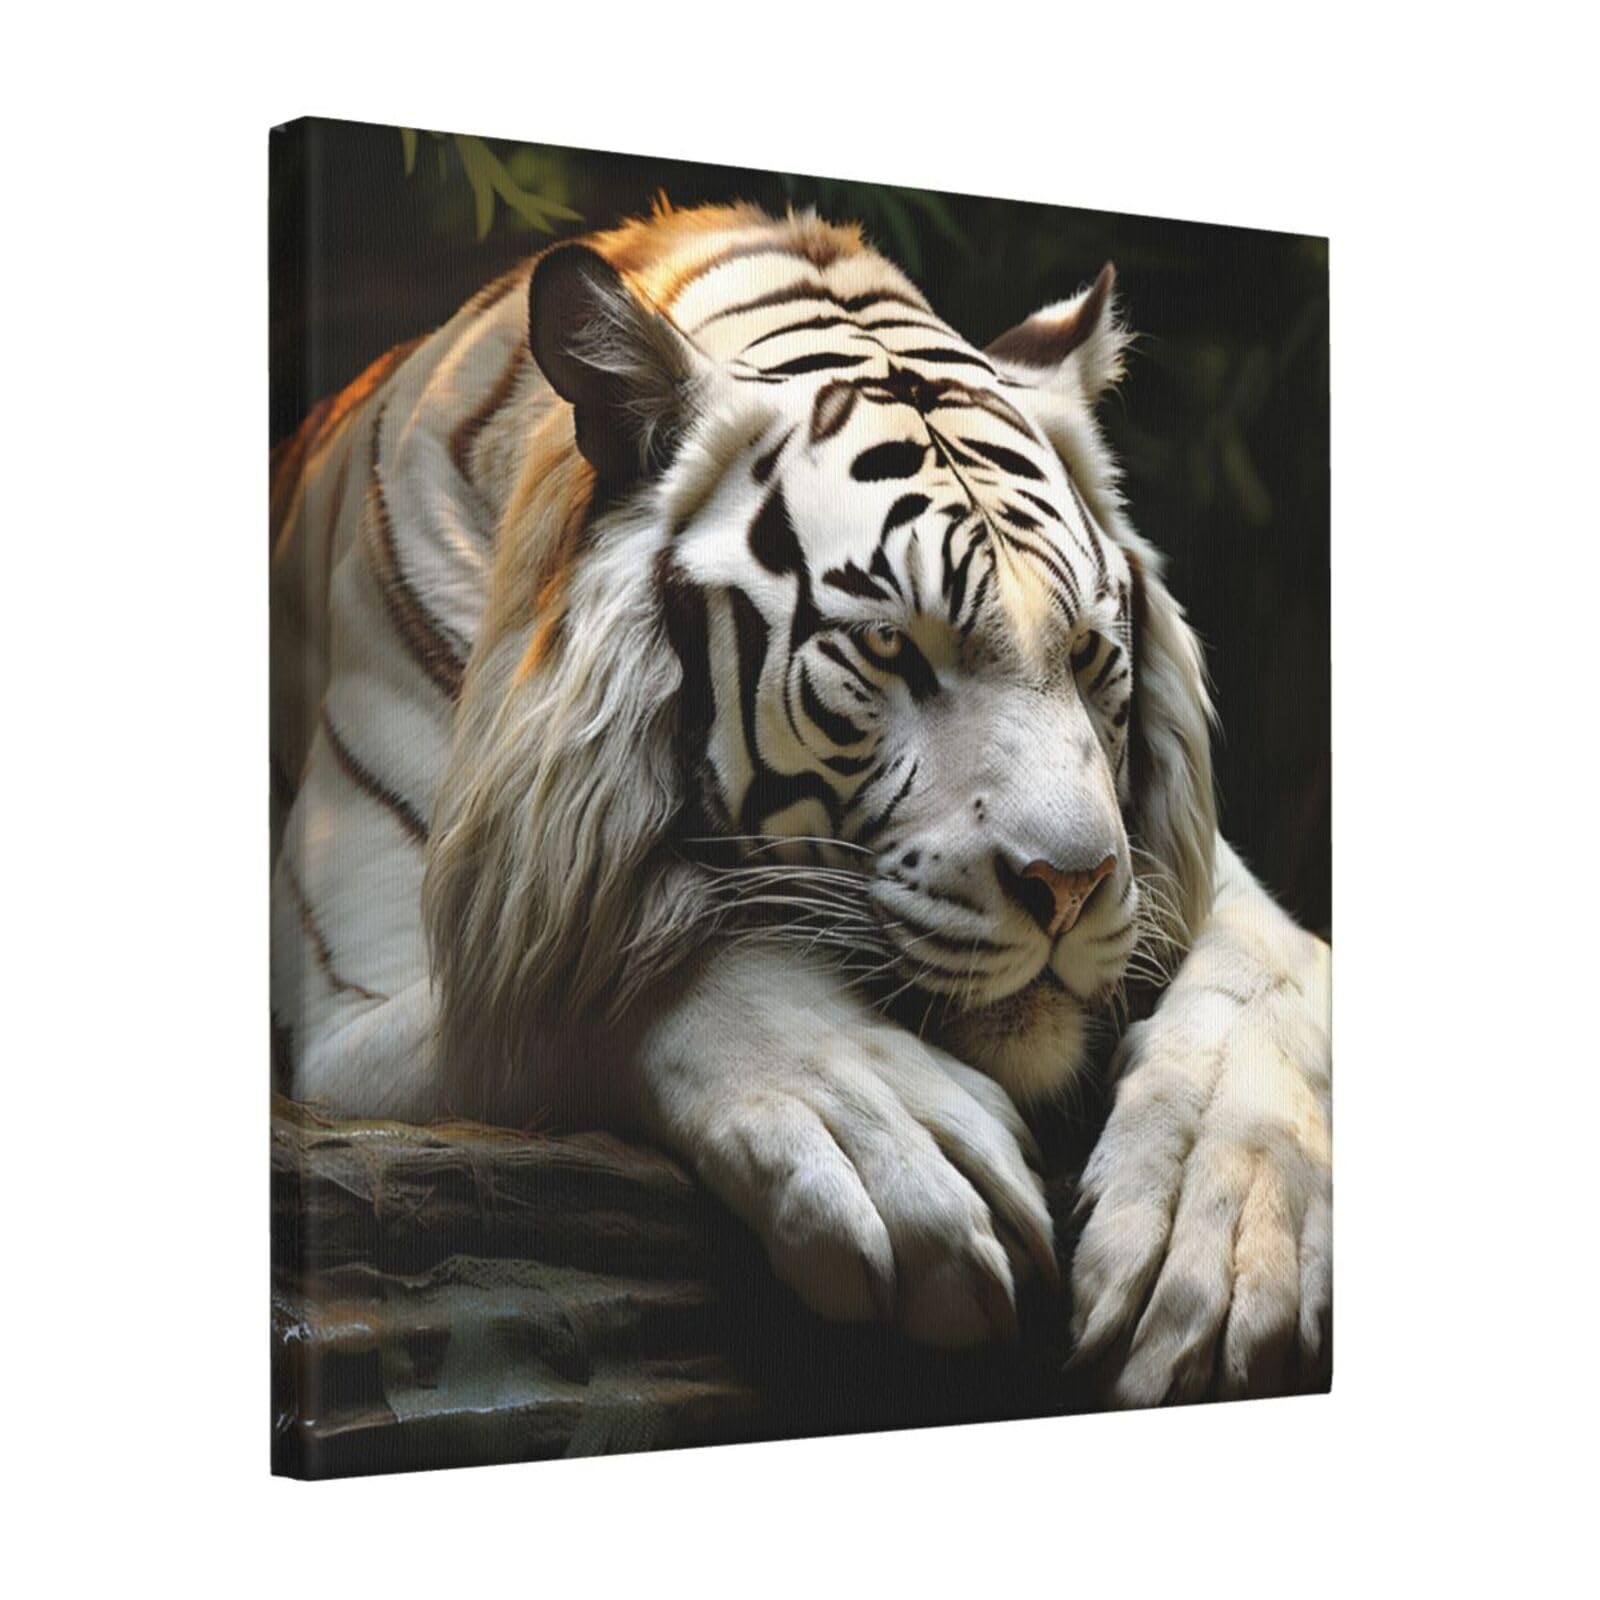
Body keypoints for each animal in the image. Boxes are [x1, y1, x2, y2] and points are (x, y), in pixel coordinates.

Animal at [270, 201, 1331, 1404]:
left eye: (1083, 653)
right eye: (890, 649)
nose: (1069, 885)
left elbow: (1267, 974)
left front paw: (1221, 1239)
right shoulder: (353, 997)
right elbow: (619, 968)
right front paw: (895, 1148)